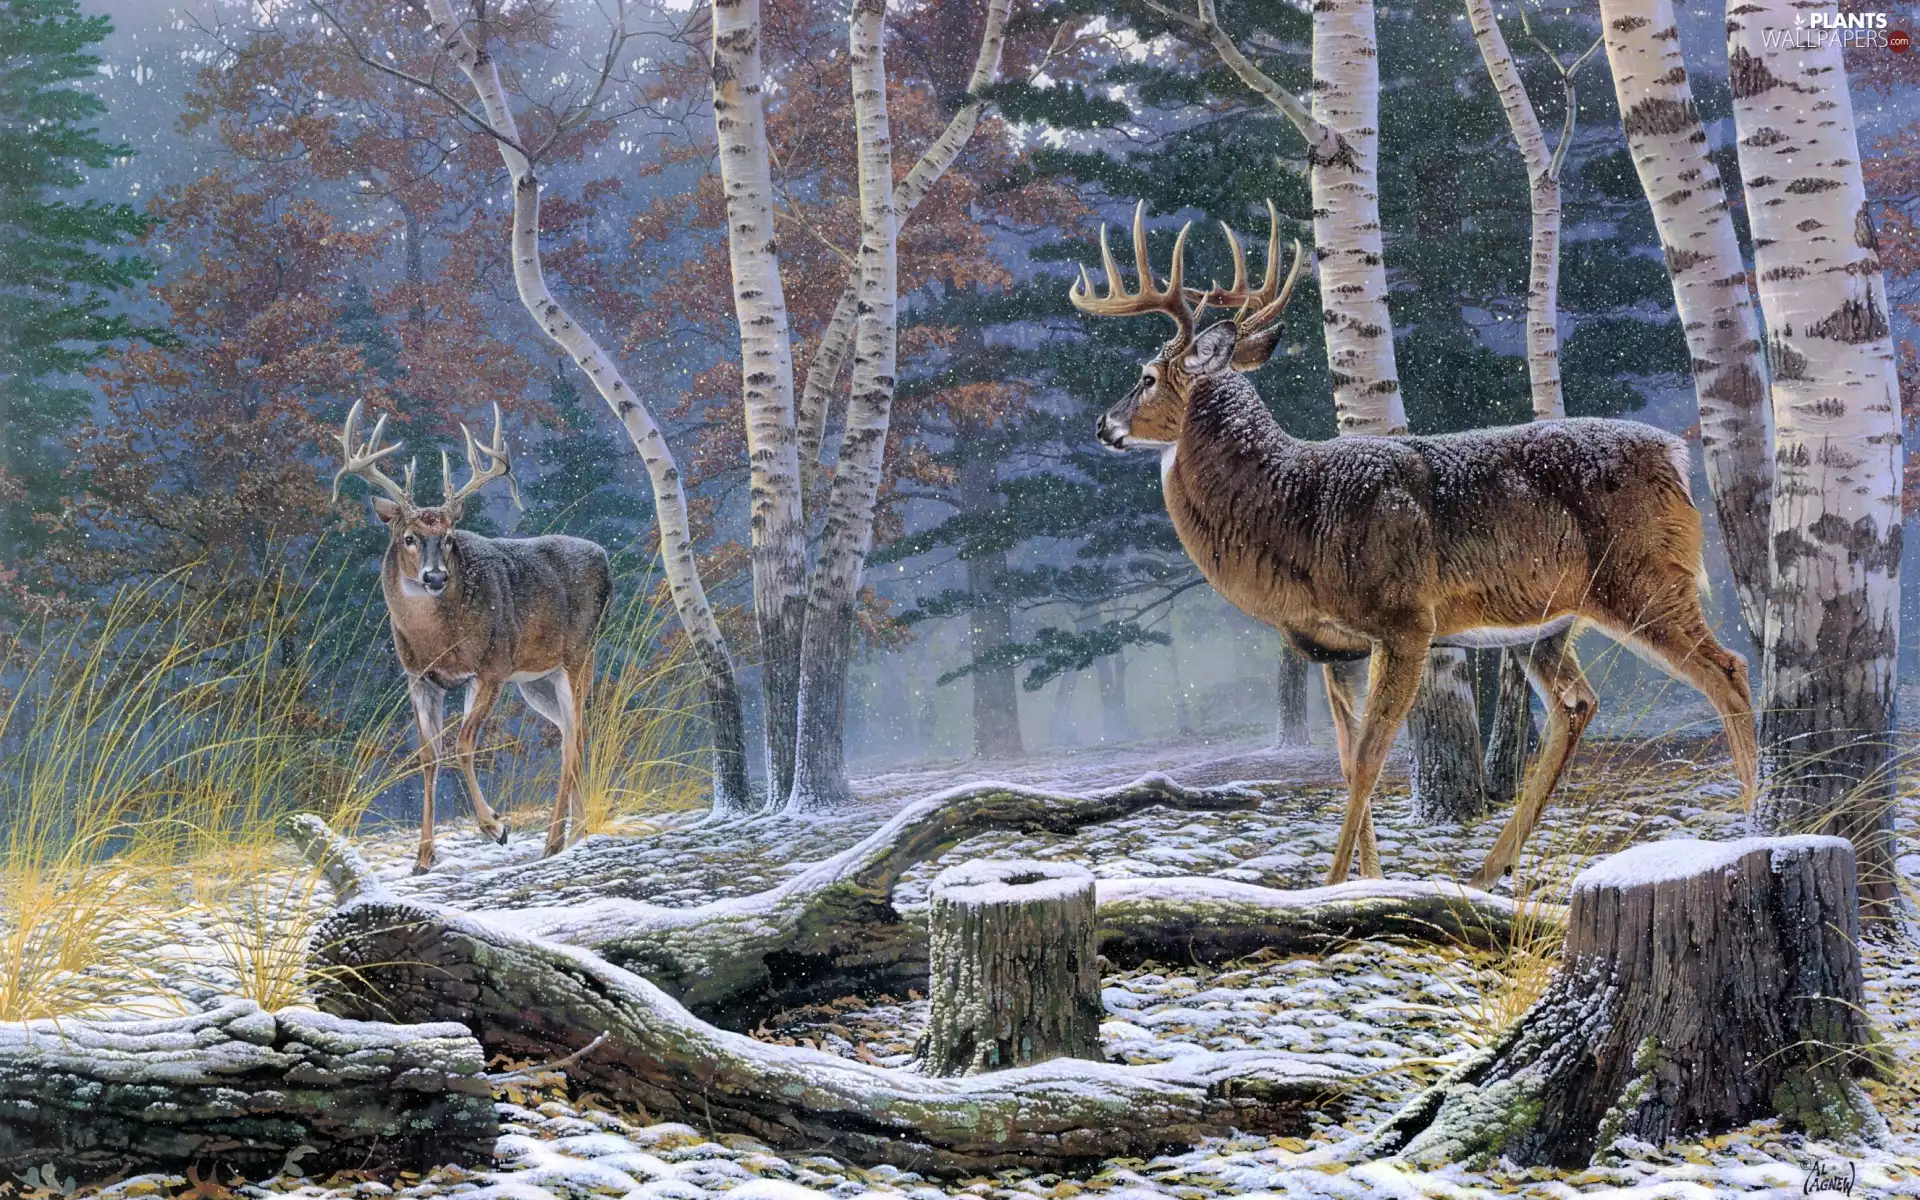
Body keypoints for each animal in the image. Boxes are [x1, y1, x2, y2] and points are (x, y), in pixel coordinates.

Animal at [331, 400, 611, 874]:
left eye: (447, 538)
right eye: (409, 537)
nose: (435, 577)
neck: (438, 641)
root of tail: (604, 556)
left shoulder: (491, 668)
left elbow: (463, 744)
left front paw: (495, 827)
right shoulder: (419, 678)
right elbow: (429, 756)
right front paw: (423, 857)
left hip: (578, 655)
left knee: (572, 739)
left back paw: (553, 840)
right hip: (538, 680)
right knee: (575, 732)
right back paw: (576, 835)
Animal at [1069, 203, 1757, 889]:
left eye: (1147, 376)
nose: (1102, 424)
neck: (1294, 509)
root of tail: (1675, 456)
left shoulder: (1405, 619)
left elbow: (1373, 755)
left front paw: (1333, 886)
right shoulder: (1335, 646)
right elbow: (1348, 759)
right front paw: (1367, 881)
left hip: (1646, 578)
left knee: (1728, 670)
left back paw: (1755, 818)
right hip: (1548, 624)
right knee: (1578, 704)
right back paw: (1488, 871)